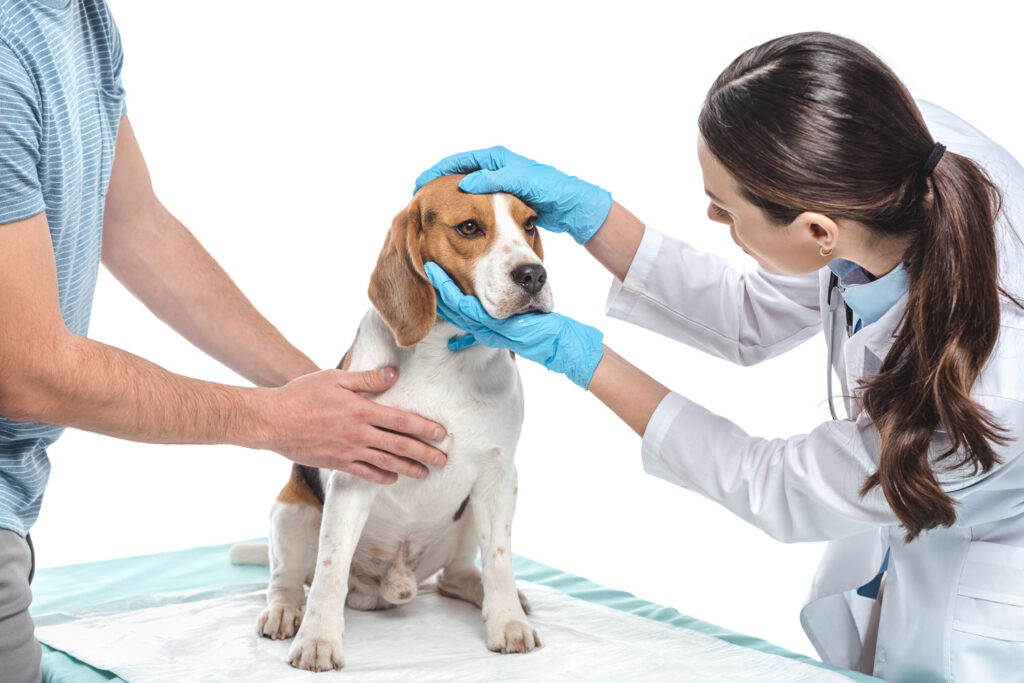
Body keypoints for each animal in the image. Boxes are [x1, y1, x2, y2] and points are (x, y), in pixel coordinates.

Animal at [250, 176, 548, 671]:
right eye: (469, 227)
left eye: (529, 225)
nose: (534, 275)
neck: (443, 352)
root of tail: (392, 584)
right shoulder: (354, 475)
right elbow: (330, 571)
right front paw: (318, 640)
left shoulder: (499, 474)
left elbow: (500, 559)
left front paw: (507, 621)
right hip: (292, 512)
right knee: (289, 577)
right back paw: (284, 611)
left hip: (467, 514)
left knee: (456, 575)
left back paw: (487, 595)